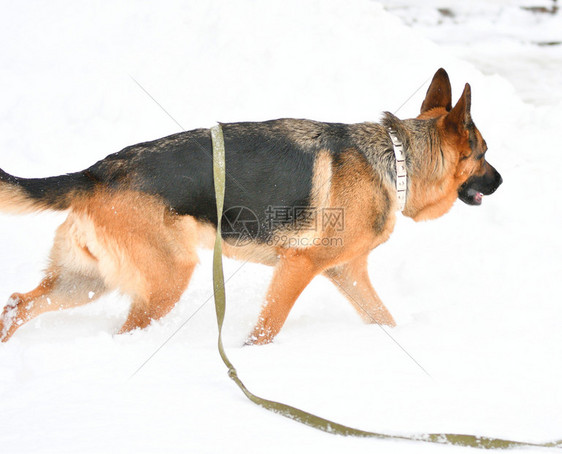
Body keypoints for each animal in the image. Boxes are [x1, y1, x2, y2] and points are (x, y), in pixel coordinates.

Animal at [0, 68, 498, 344]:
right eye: (484, 154)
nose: (502, 181)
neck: (396, 159)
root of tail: (98, 171)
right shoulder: (298, 266)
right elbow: (266, 329)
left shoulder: (347, 274)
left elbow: (384, 320)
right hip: (166, 281)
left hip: (86, 281)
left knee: (17, 305)